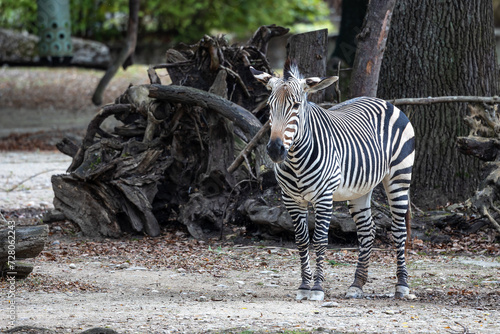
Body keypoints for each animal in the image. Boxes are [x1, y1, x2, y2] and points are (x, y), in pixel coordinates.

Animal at [250, 60, 414, 302]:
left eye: (296, 106)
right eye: (270, 106)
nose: (275, 150)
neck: (296, 159)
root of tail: (384, 101)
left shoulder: (323, 197)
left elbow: (319, 239)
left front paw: (317, 288)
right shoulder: (291, 199)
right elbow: (301, 240)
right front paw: (304, 286)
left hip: (399, 177)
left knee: (399, 230)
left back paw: (402, 285)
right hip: (360, 189)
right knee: (367, 230)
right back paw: (357, 285)